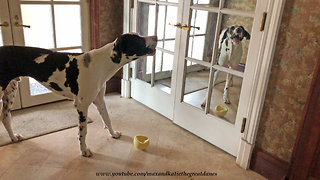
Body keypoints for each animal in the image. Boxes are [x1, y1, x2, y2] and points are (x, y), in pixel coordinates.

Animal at [0, 33, 158, 157]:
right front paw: (84, 151)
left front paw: (113, 134)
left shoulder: (100, 100)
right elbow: (83, 132)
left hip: (10, 92)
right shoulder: (81, 105)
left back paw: (13, 137)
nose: (156, 37)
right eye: (137, 39)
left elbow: (107, 119)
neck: (100, 64)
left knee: (5, 117)